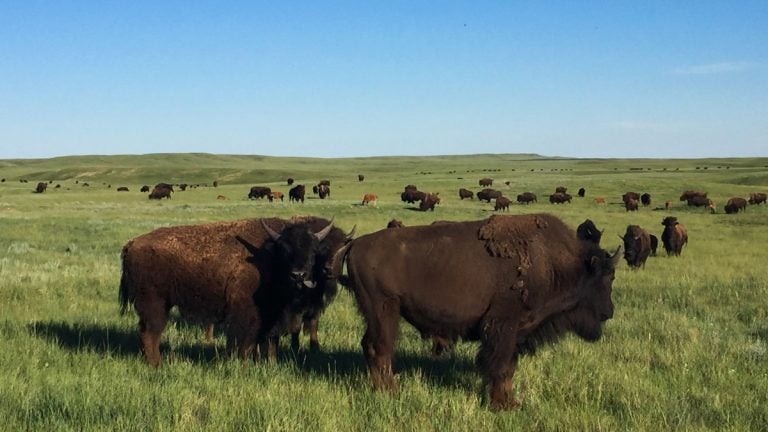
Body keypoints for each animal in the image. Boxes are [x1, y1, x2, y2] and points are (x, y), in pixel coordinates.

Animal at [119, 216, 348, 364]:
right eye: (285, 250)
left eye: (313, 251)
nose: (298, 275)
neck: (267, 254)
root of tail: (132, 243)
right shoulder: (246, 313)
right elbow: (245, 342)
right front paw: (241, 365)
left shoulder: (271, 317)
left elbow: (267, 343)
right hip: (154, 303)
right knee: (151, 332)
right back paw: (157, 364)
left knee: (145, 332)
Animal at [332, 214, 620, 410]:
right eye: (606, 278)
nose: (609, 312)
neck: (554, 263)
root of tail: (355, 244)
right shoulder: (503, 327)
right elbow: (500, 366)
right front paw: (501, 405)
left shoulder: (515, 334)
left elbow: (509, 367)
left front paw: (511, 402)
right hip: (384, 311)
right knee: (380, 348)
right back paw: (391, 391)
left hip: (377, 314)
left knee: (370, 346)